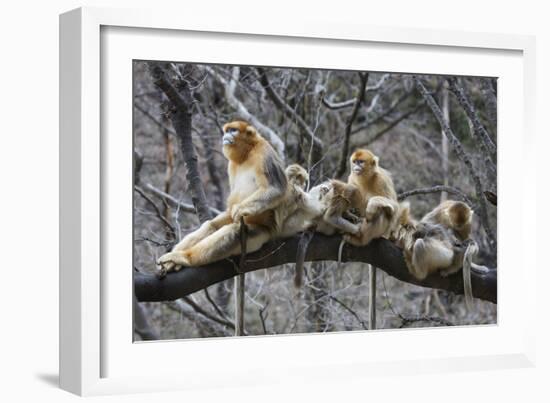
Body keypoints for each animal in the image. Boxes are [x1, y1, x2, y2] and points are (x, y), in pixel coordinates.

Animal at [157, 120, 288, 274]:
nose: (226, 135)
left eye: (233, 130)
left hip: (261, 232)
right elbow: (228, 210)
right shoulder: (232, 165)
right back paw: (172, 261)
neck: (248, 153)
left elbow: (276, 189)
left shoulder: (264, 153)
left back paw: (185, 258)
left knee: (234, 232)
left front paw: (241, 209)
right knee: (211, 225)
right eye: (227, 130)